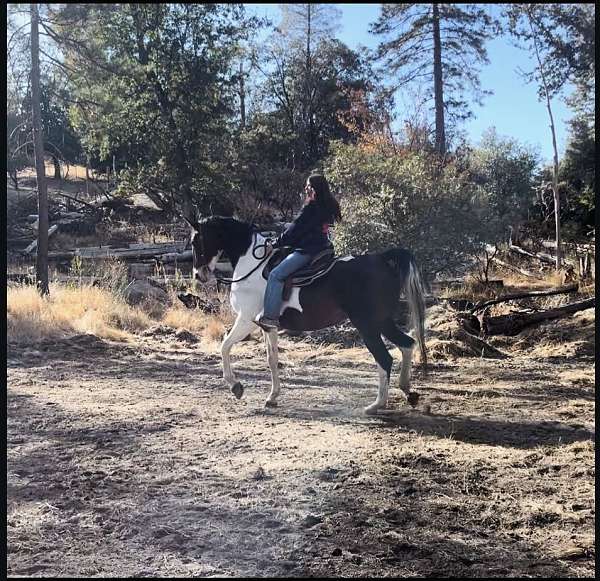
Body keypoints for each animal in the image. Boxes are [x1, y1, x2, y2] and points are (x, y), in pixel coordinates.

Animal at [186, 215, 426, 414]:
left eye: (196, 241)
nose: (198, 275)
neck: (252, 265)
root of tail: (383, 259)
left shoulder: (246, 320)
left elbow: (224, 347)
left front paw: (235, 386)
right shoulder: (267, 326)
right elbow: (272, 359)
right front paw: (272, 397)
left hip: (368, 324)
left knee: (385, 358)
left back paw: (377, 405)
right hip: (383, 321)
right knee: (407, 344)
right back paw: (408, 392)